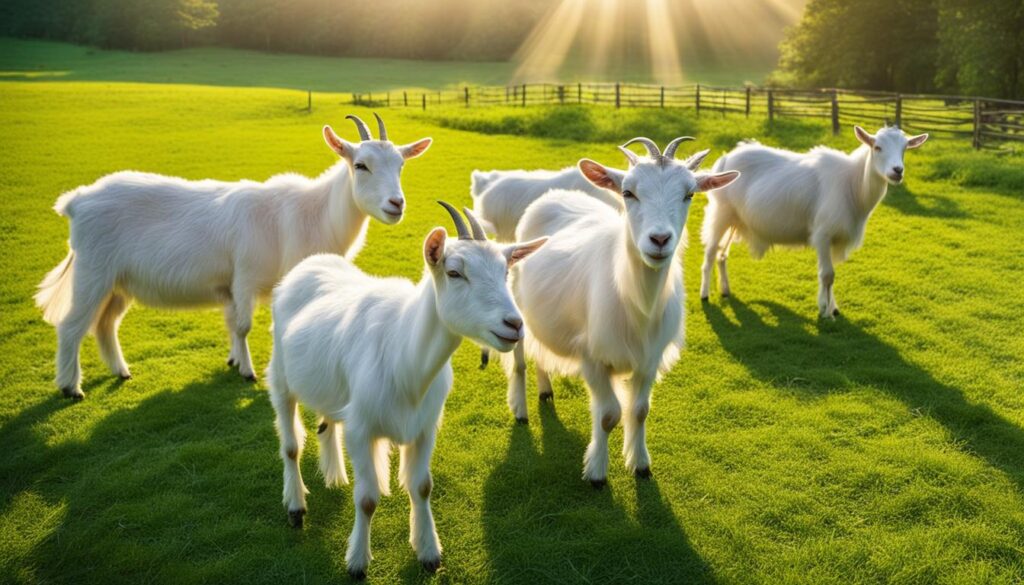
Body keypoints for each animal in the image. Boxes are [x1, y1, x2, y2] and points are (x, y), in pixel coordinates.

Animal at [34, 114, 431, 399]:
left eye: (401, 165)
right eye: (360, 165)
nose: (396, 204)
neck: (312, 213)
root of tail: (77, 201)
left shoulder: (238, 284)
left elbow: (233, 323)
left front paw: (234, 359)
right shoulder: (246, 276)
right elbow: (243, 325)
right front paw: (247, 371)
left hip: (119, 282)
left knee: (105, 324)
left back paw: (120, 370)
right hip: (93, 271)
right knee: (72, 325)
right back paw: (71, 387)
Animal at [266, 202, 545, 578]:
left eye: (505, 272)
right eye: (454, 272)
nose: (514, 325)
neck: (403, 355)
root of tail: (311, 263)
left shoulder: (426, 426)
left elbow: (422, 487)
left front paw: (428, 552)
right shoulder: (361, 429)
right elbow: (367, 498)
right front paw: (357, 561)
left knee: (326, 423)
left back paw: (335, 476)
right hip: (281, 377)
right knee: (292, 445)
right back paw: (296, 506)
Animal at [503, 138, 739, 486]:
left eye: (690, 194)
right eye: (628, 192)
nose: (659, 239)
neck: (637, 302)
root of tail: (552, 195)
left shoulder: (649, 358)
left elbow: (639, 410)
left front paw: (640, 464)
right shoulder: (593, 358)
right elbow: (608, 415)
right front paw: (597, 473)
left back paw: (545, 389)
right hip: (515, 306)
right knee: (520, 360)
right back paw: (520, 409)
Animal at [700, 125, 927, 317]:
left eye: (905, 148)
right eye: (877, 147)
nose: (897, 171)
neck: (853, 185)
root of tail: (726, 158)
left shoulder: (835, 237)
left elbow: (831, 275)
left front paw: (832, 307)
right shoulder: (823, 233)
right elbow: (827, 275)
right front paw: (826, 311)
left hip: (735, 218)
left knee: (722, 253)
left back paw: (725, 290)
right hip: (721, 212)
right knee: (711, 252)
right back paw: (704, 294)